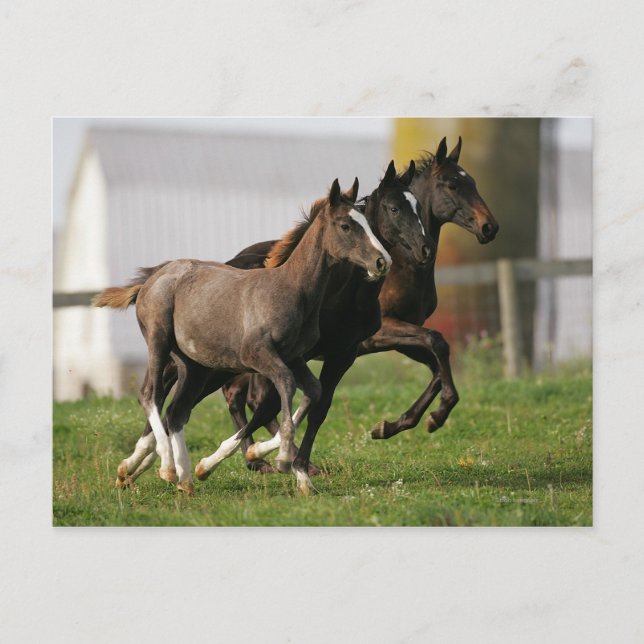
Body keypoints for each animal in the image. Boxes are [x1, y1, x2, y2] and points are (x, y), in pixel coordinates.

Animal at [109, 161, 433, 493]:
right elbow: (284, 391)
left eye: (367, 222)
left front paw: (296, 472)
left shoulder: (301, 356)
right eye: (346, 225)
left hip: (195, 364)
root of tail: (154, 276)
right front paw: (283, 458)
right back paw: (160, 466)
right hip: (163, 343)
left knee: (177, 411)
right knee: (151, 394)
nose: (382, 262)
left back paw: (181, 477)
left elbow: (312, 394)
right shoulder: (259, 355)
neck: (294, 288)